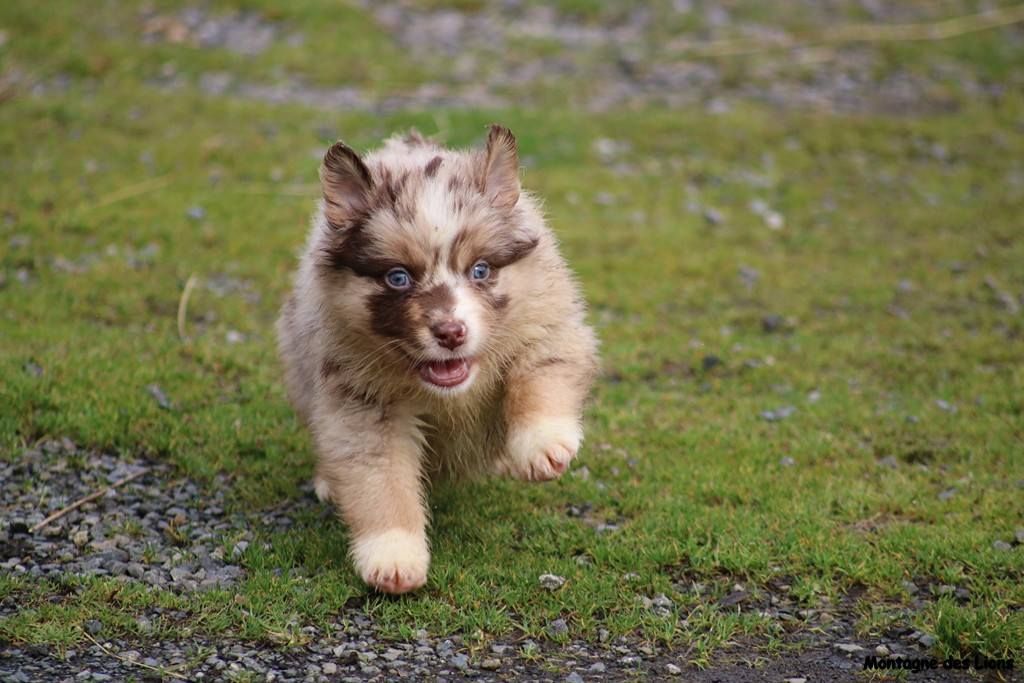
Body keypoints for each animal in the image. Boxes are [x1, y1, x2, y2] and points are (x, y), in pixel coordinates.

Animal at [278, 126, 598, 593]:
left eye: (480, 270)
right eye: (398, 277)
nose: (451, 333)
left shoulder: (548, 326)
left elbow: (538, 376)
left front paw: (542, 446)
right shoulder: (361, 405)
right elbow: (381, 484)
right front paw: (393, 556)